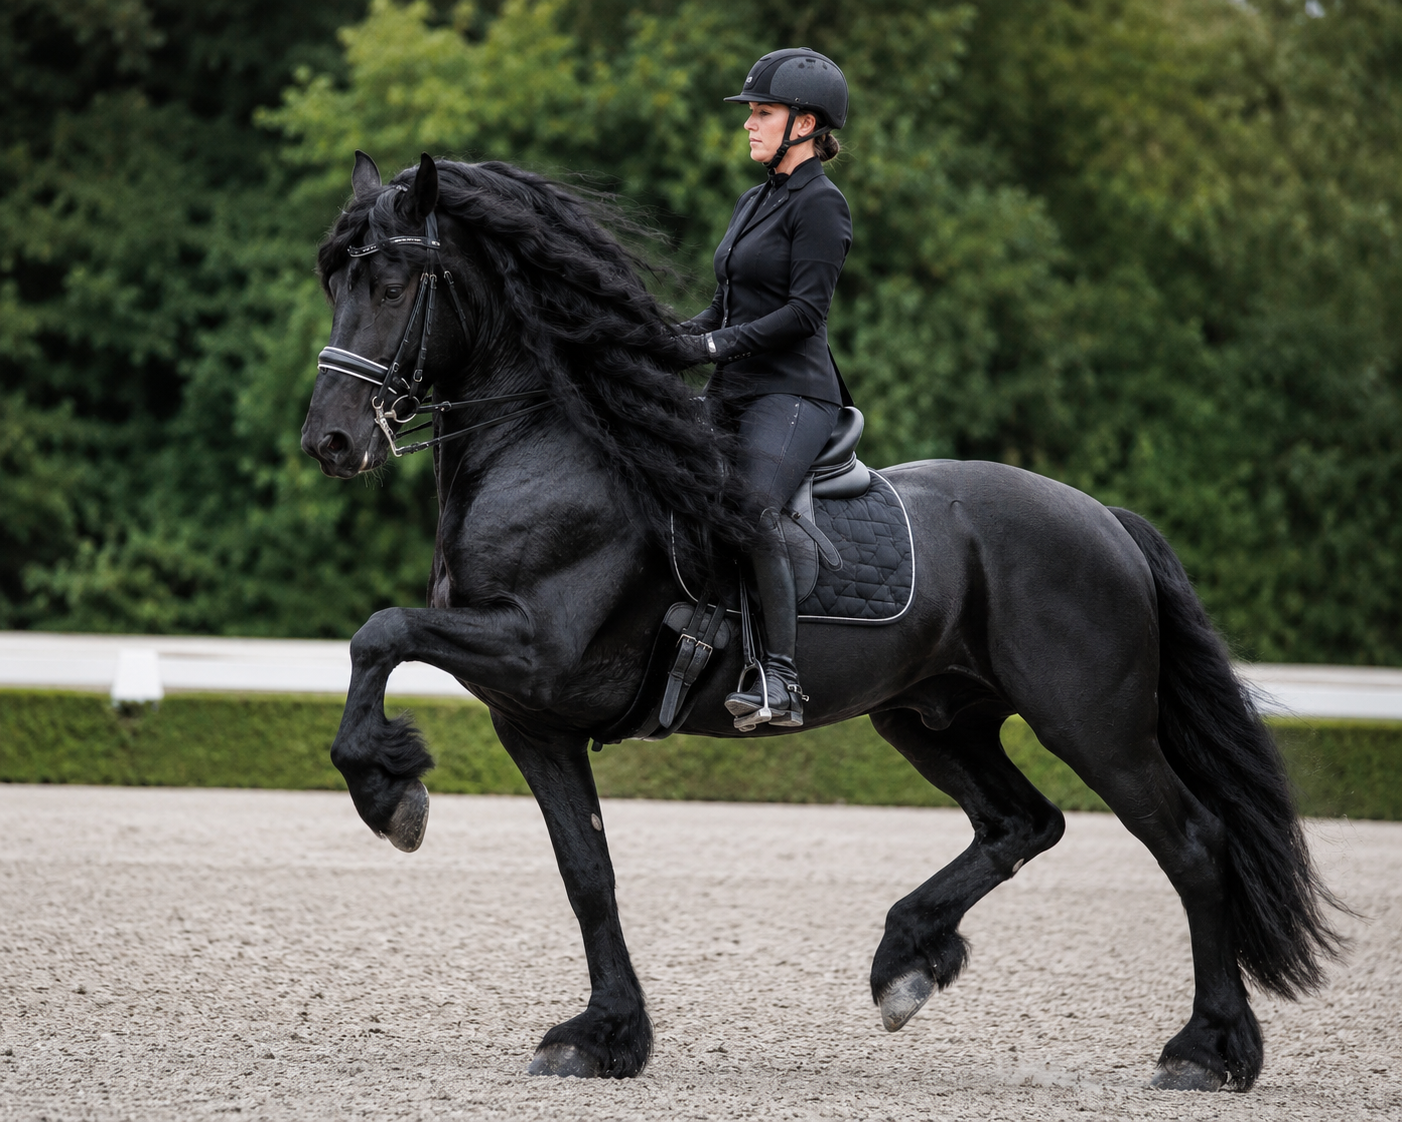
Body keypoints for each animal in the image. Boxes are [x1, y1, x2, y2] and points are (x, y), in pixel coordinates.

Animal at [300, 152, 1340, 1090]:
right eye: (334, 280)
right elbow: (586, 872)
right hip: (933, 717)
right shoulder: (533, 716)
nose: (331, 441)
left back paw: (1207, 1050)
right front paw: (601, 1036)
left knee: (1192, 844)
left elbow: (379, 632)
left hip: (1093, 724)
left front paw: (389, 793)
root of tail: (1105, 520)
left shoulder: (534, 649)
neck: (553, 450)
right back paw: (907, 961)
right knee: (1022, 822)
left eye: (391, 284)